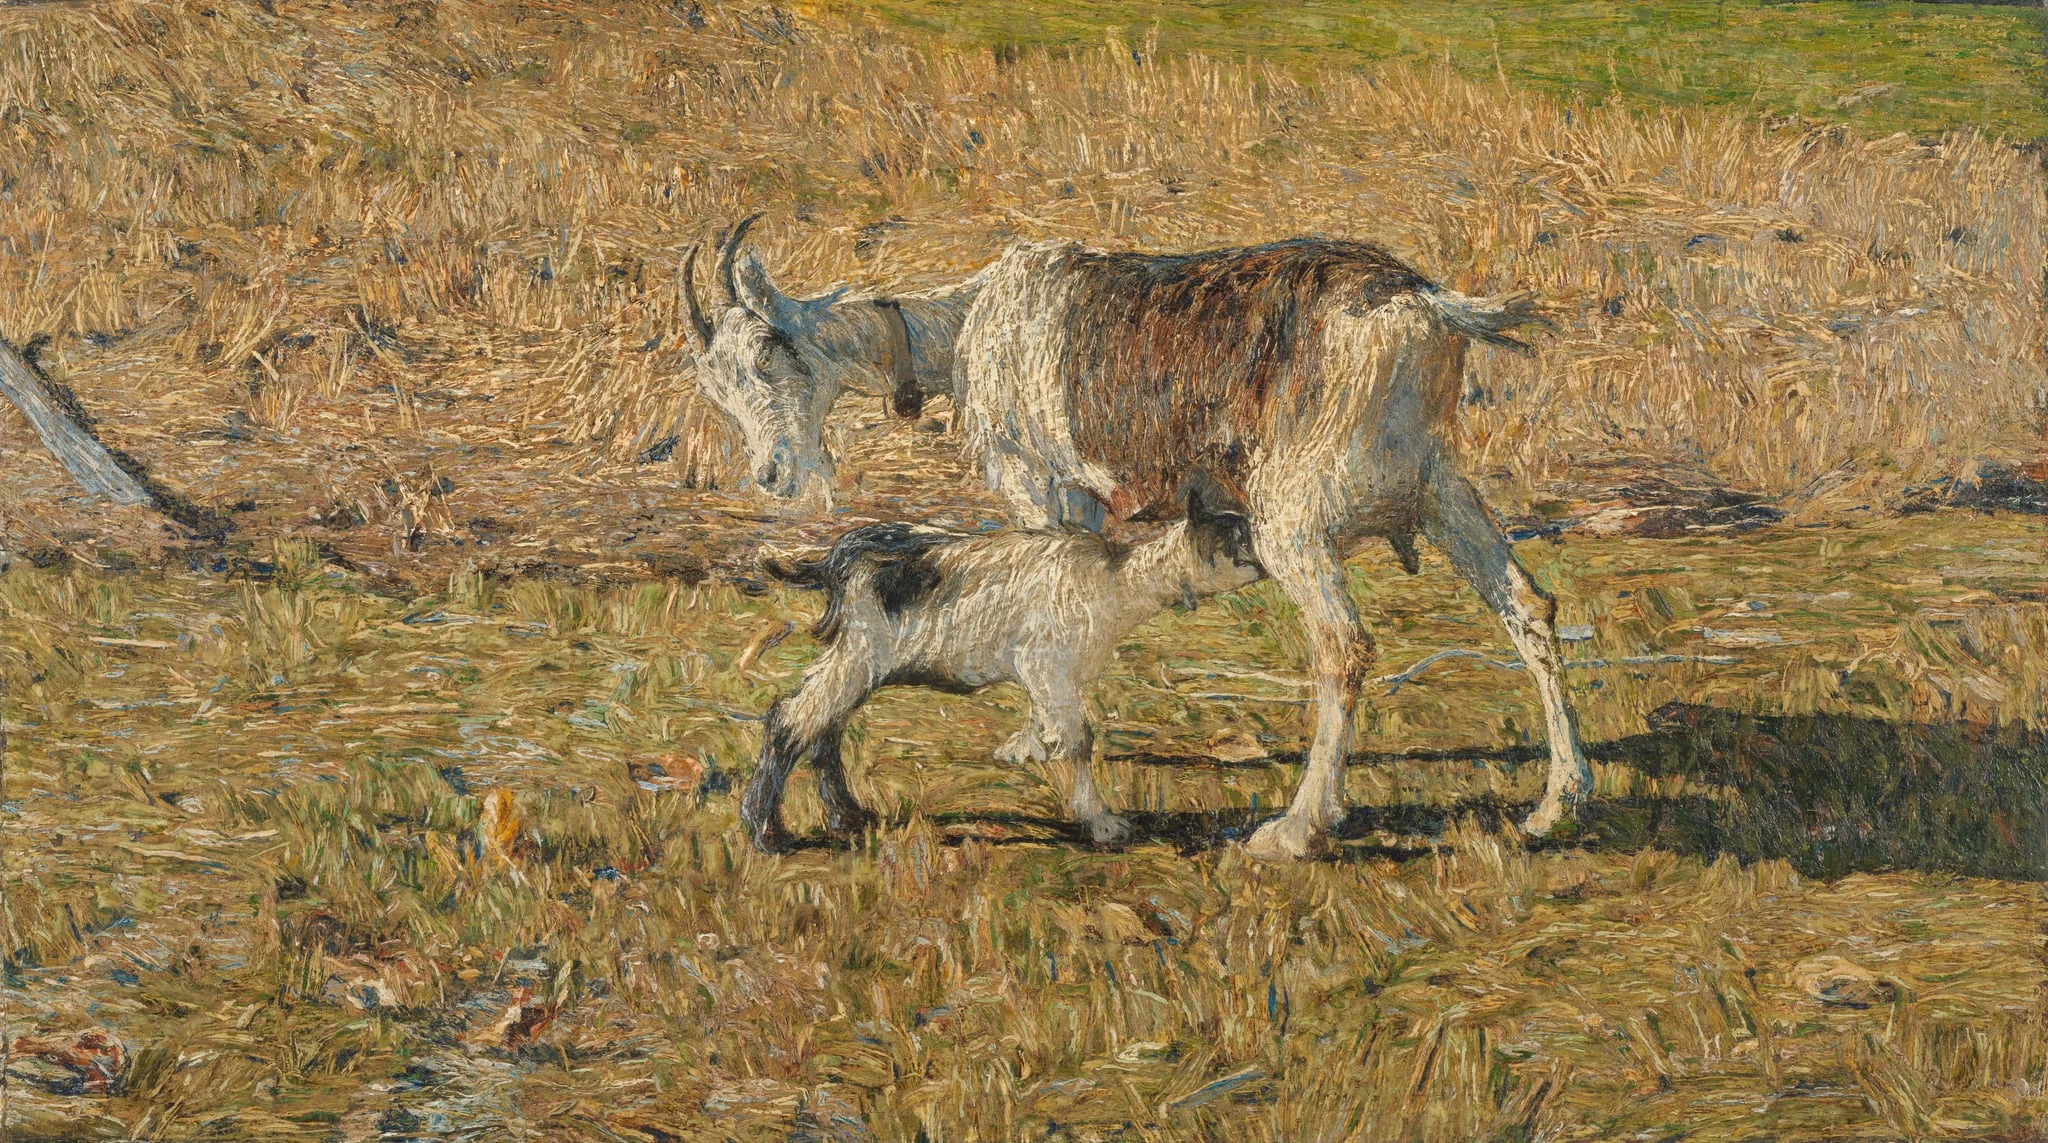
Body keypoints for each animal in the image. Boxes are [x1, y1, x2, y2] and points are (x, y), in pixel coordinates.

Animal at [739, 485, 1264, 853]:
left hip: (857, 660)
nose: (1269, 561)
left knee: (823, 728)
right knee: (791, 721)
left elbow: (1046, 723)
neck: (1116, 582)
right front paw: (1101, 823)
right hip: (862, 654)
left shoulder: (1044, 676)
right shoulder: (1046, 664)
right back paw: (767, 834)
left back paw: (847, 817)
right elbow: (1079, 740)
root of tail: (838, 556)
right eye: (1240, 538)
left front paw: (1022, 749)